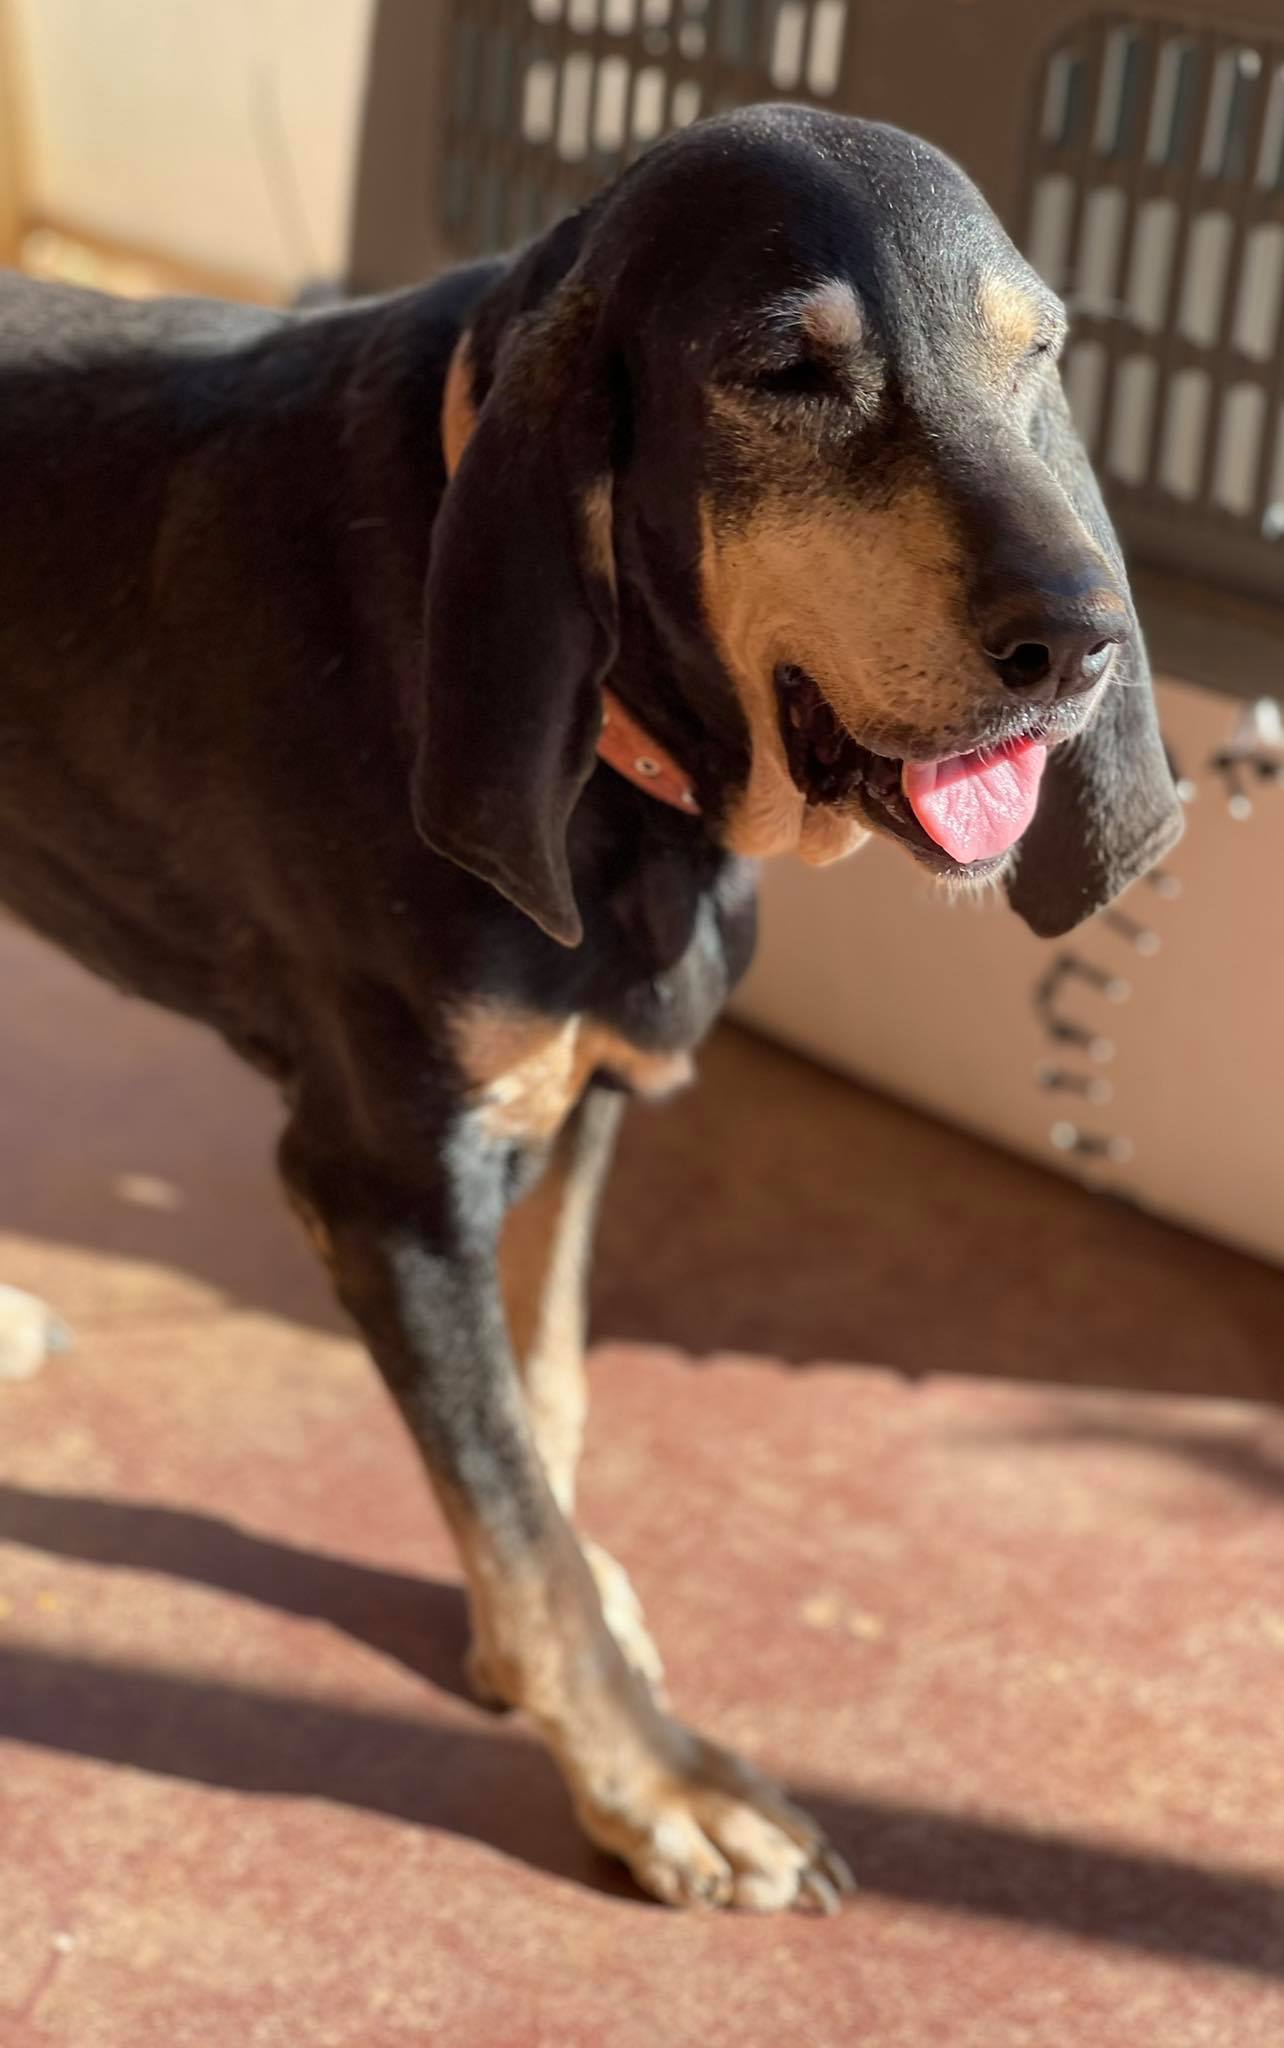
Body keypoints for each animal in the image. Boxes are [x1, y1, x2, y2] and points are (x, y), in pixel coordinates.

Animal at [0, 104, 1181, 1912]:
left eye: (1037, 351)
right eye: (783, 372)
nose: (1087, 641)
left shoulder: (585, 1105)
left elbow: (539, 1404)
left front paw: (556, 1648)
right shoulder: (385, 1186)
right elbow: (507, 1496)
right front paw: (657, 1781)